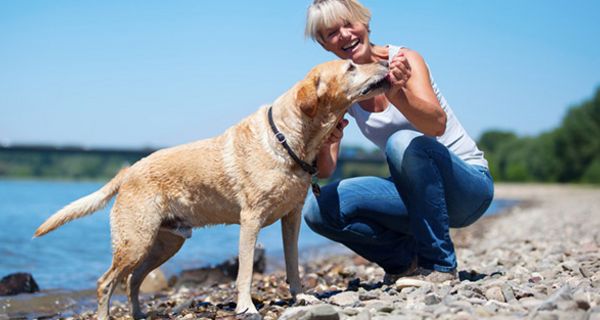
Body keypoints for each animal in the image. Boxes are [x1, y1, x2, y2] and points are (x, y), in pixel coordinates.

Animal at [34, 58, 390, 318]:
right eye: (351, 67)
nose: (384, 62)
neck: (289, 139)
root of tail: (127, 170)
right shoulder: (250, 220)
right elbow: (245, 271)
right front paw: (246, 306)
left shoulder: (291, 218)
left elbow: (293, 263)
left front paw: (301, 296)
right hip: (135, 240)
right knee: (106, 282)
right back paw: (106, 315)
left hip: (164, 244)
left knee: (133, 279)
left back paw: (139, 314)